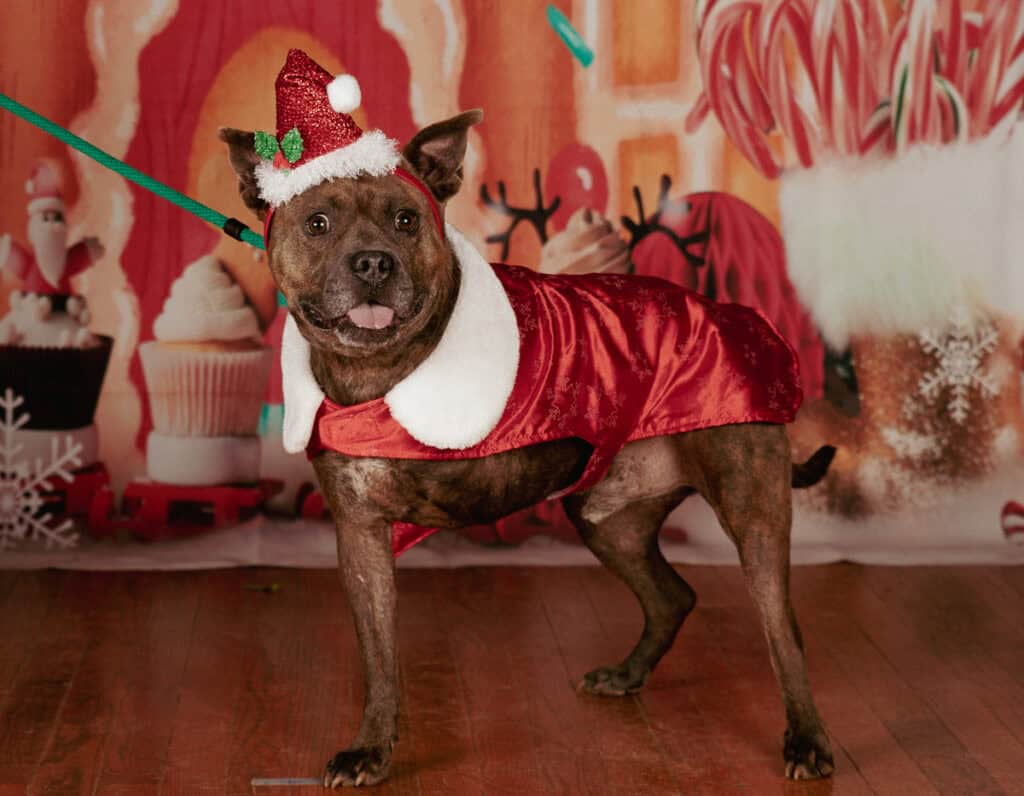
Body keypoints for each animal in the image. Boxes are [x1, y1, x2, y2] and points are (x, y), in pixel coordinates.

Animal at [221, 73, 835, 788]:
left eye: (406, 219)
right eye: (317, 223)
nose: (373, 263)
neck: (383, 372)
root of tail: (735, 318)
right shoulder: (361, 533)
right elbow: (378, 656)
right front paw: (372, 745)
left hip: (749, 505)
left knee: (783, 629)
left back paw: (807, 740)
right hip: (608, 519)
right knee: (672, 596)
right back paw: (628, 674)